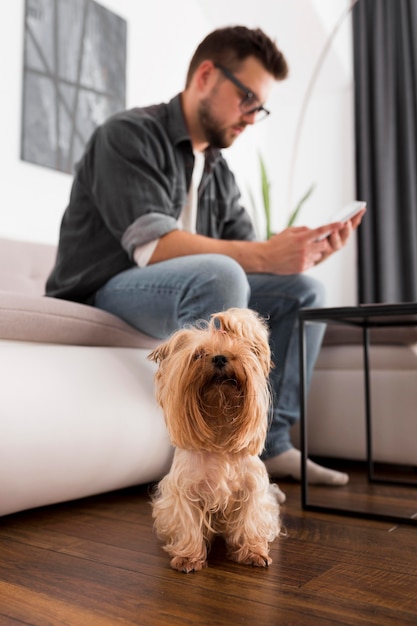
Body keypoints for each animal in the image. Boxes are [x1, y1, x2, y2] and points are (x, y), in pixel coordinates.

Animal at [147, 306, 282, 572]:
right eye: (198, 354)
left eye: (237, 351)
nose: (220, 358)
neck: (220, 429)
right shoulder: (184, 490)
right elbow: (188, 524)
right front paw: (188, 557)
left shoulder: (252, 489)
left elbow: (249, 519)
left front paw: (253, 552)